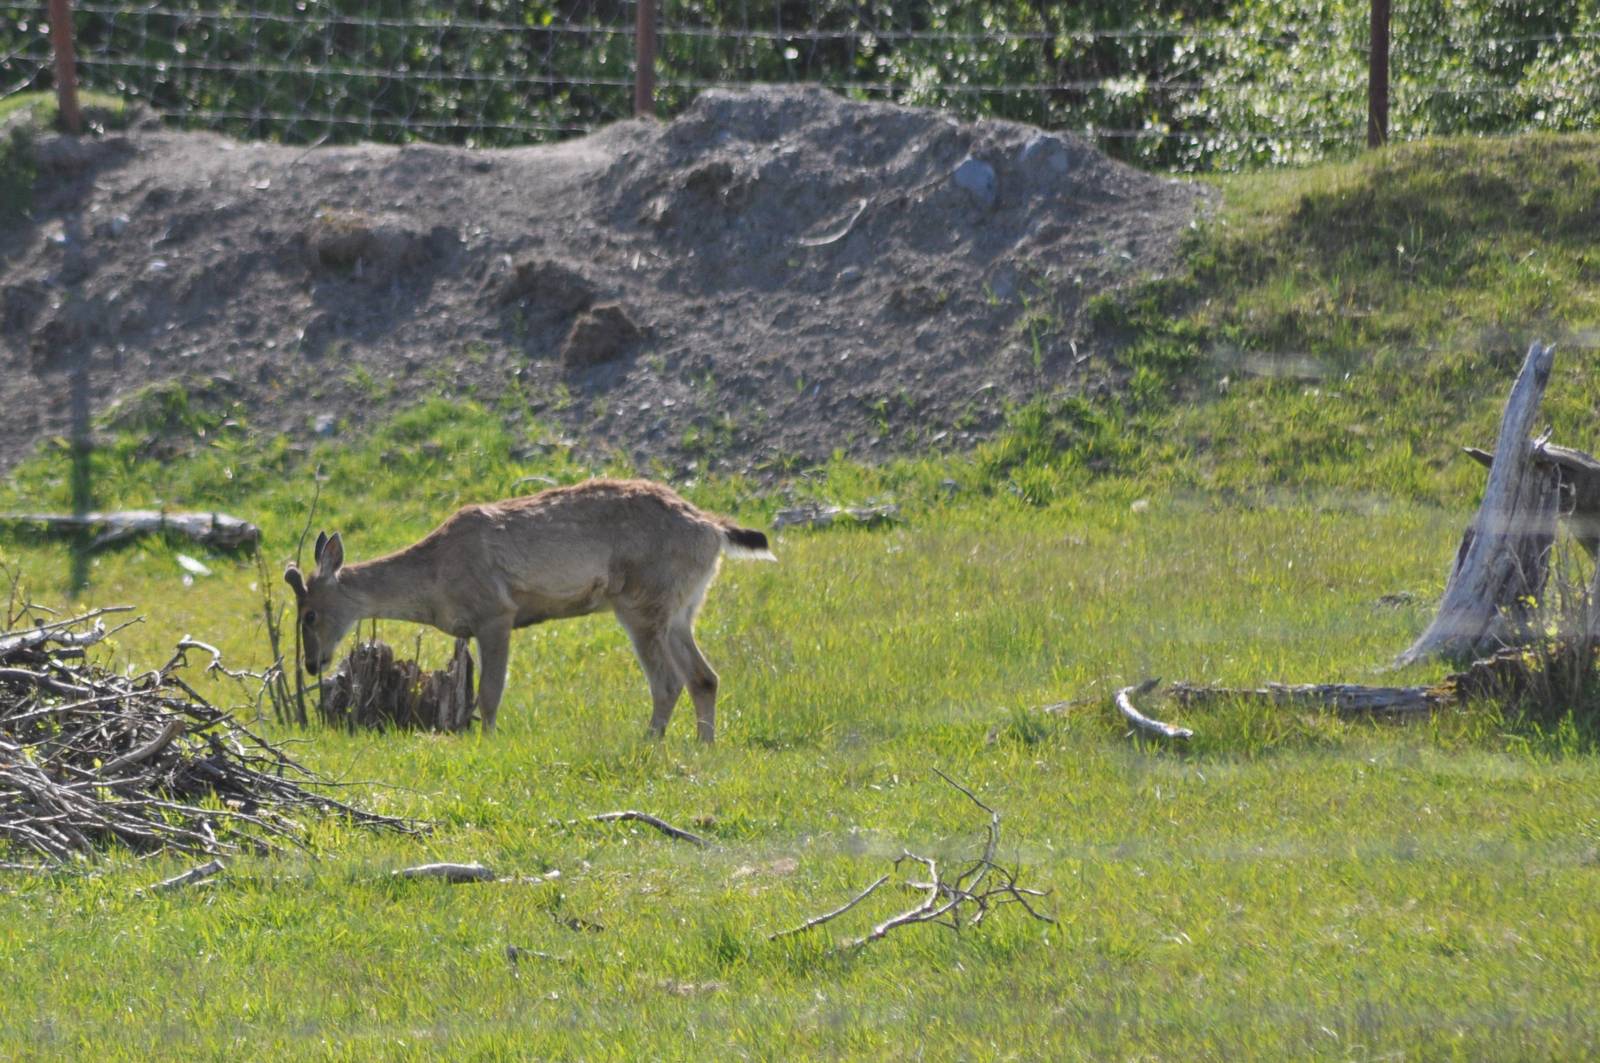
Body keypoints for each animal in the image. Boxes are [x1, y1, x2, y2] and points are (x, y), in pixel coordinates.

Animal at [282, 478, 774, 741]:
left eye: (309, 614)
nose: (311, 664)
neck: (435, 580)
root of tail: (713, 529)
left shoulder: (495, 612)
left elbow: (490, 693)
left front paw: (487, 741)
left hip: (642, 601)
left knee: (669, 681)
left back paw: (650, 742)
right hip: (682, 607)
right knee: (704, 676)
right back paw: (704, 744)